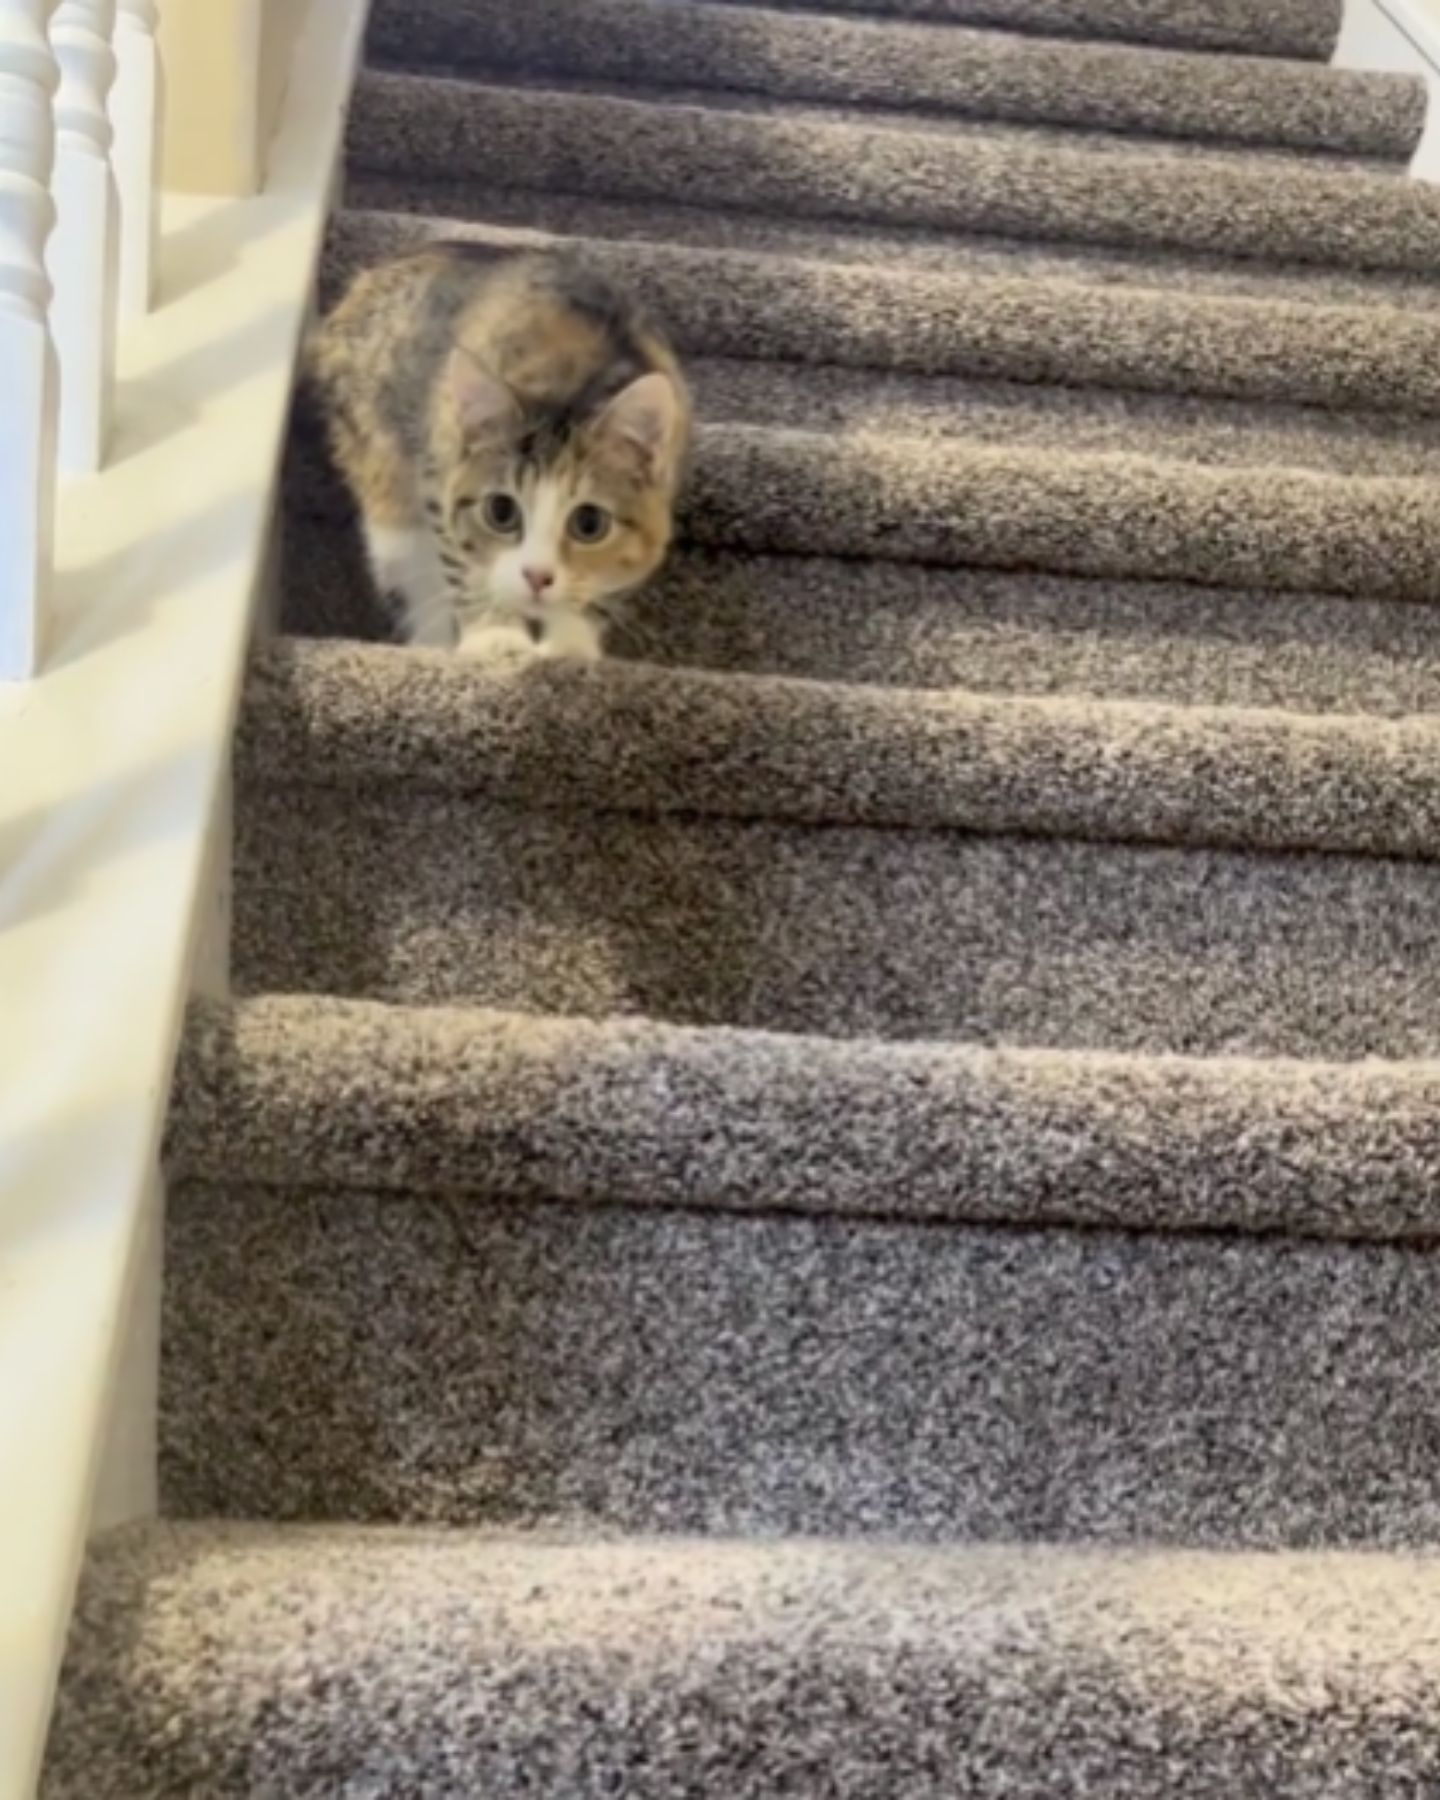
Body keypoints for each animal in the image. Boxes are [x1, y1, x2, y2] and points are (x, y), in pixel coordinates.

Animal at [306, 243, 687, 658]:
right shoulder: (440, 471)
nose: (537, 576)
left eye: (589, 524)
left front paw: (570, 640)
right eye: (501, 511)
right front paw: (495, 636)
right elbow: (464, 562)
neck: (575, 382)